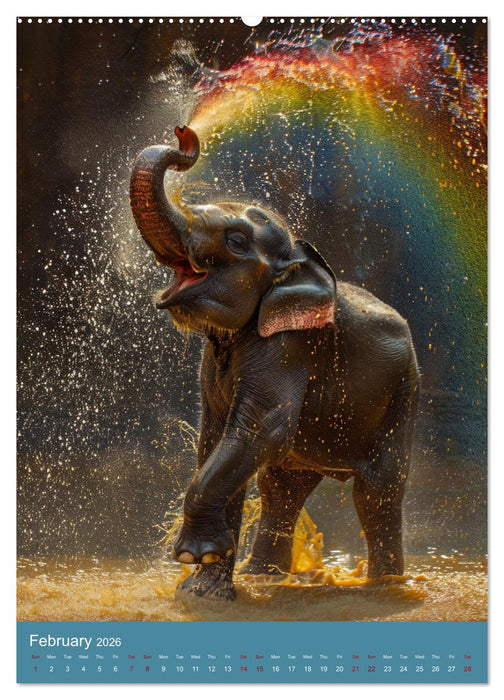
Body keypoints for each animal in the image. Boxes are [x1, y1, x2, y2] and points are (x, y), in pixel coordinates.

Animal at [130, 126, 419, 600]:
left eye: (235, 241)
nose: (185, 136)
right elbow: (219, 440)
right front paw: (204, 590)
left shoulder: (289, 345)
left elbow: (258, 429)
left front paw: (193, 559)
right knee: (282, 486)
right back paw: (264, 575)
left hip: (402, 392)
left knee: (377, 490)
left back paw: (385, 584)